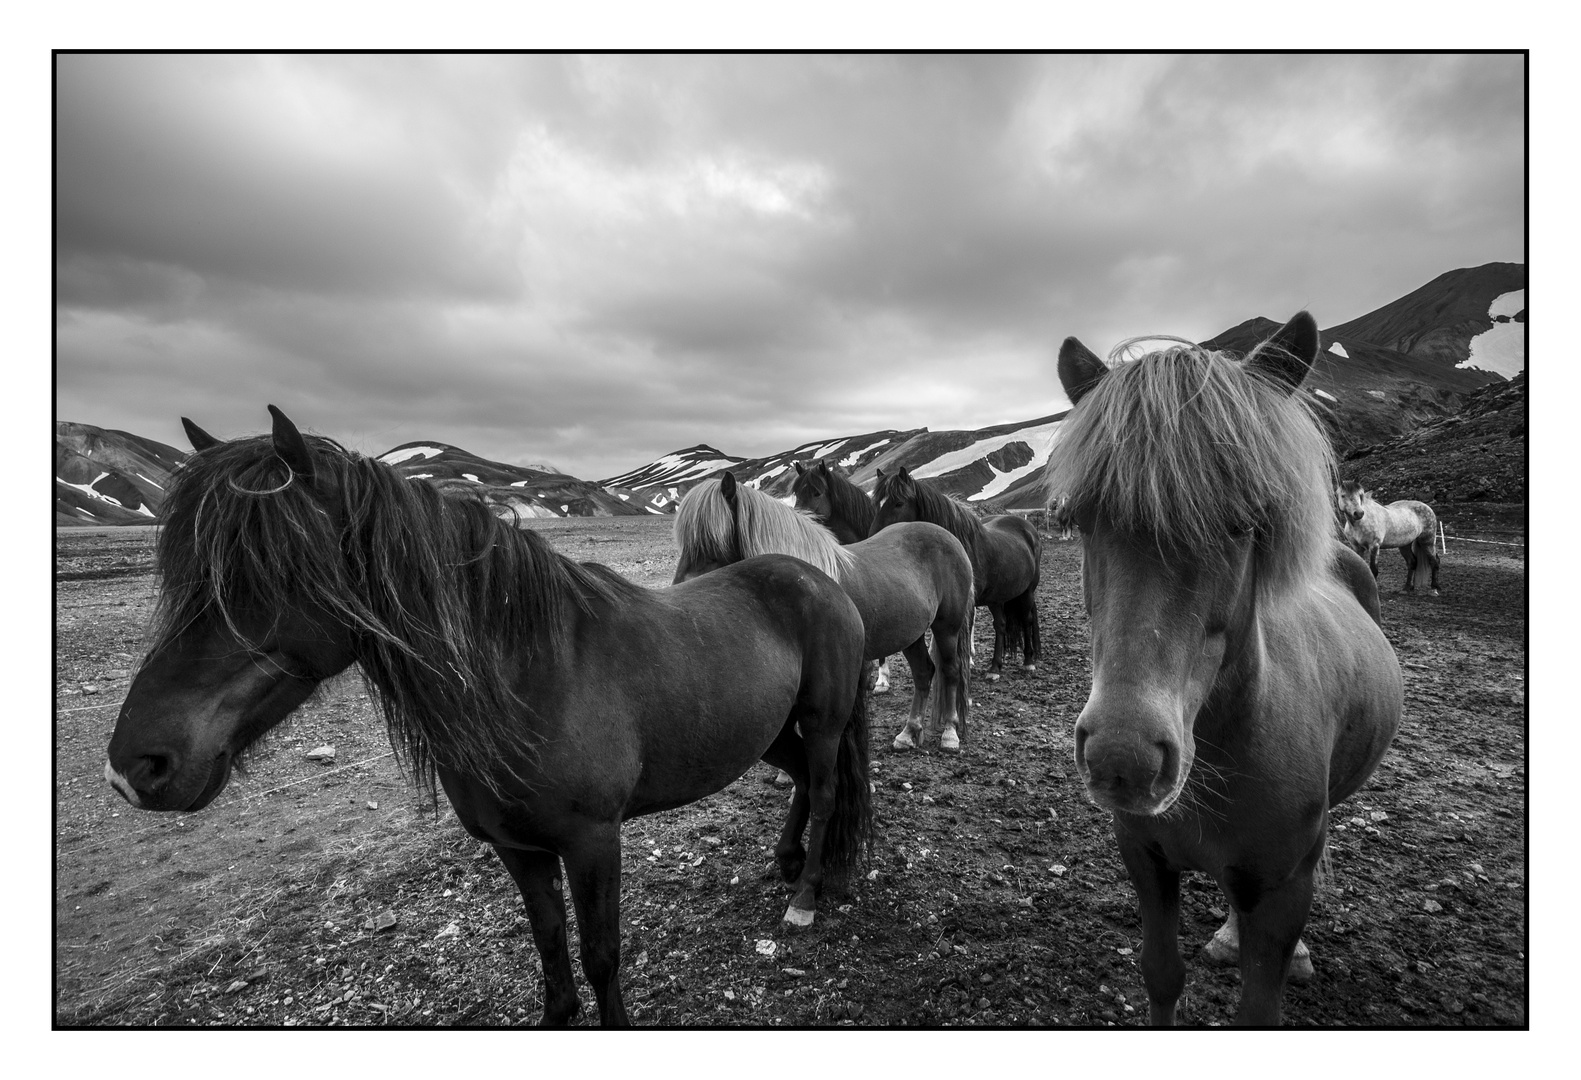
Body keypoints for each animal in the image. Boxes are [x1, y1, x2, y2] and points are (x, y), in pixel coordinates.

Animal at [108, 407, 879, 1030]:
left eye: (272, 569)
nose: (134, 767)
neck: (531, 679)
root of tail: (820, 576)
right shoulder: (518, 849)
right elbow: (549, 947)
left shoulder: (592, 841)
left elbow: (600, 956)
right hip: (767, 734)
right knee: (802, 781)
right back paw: (782, 862)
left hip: (824, 723)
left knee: (827, 789)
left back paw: (805, 896)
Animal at [673, 474, 967, 752]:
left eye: (712, 540)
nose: (677, 593)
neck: (804, 582)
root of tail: (943, 534)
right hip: (910, 633)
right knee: (923, 673)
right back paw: (908, 733)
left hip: (947, 627)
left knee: (951, 670)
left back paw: (950, 734)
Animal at [866, 468, 1037, 683]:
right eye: (876, 503)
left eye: (898, 503)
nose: (872, 538)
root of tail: (1027, 527)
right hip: (997, 598)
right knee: (1001, 625)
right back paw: (995, 668)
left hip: (1027, 591)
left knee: (1027, 619)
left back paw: (1029, 662)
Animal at [1043, 314, 1403, 1030]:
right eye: (1080, 521)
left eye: (1245, 523)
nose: (1123, 759)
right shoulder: (1145, 858)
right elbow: (1161, 973)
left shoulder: (1284, 888)